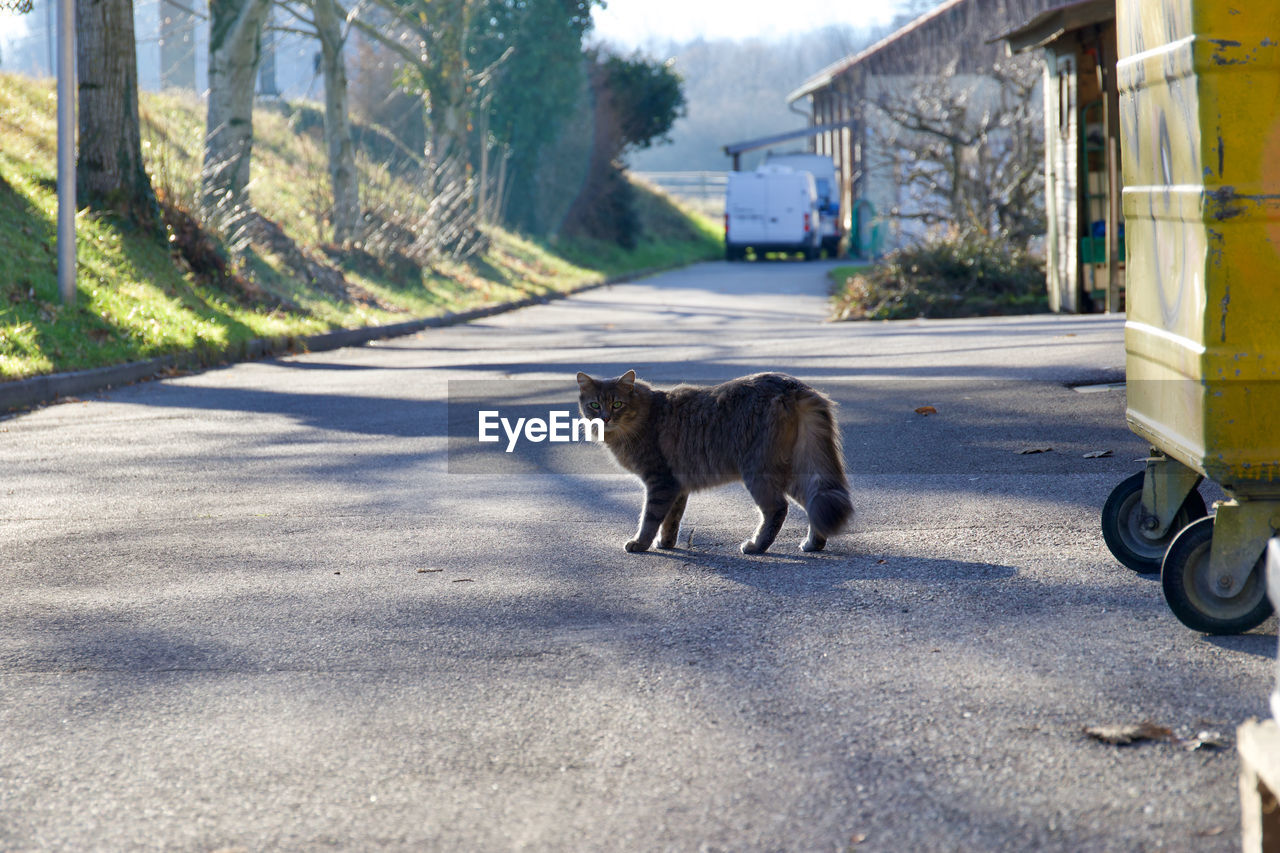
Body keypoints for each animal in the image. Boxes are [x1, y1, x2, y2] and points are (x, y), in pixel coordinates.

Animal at [578, 368, 855, 555]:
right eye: (594, 405)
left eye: (617, 404)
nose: (605, 418)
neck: (644, 415)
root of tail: (792, 385)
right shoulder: (677, 486)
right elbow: (671, 520)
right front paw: (666, 543)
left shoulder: (660, 481)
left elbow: (650, 518)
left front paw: (641, 544)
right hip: (792, 468)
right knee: (814, 500)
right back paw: (813, 544)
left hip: (759, 470)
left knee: (778, 508)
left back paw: (756, 546)